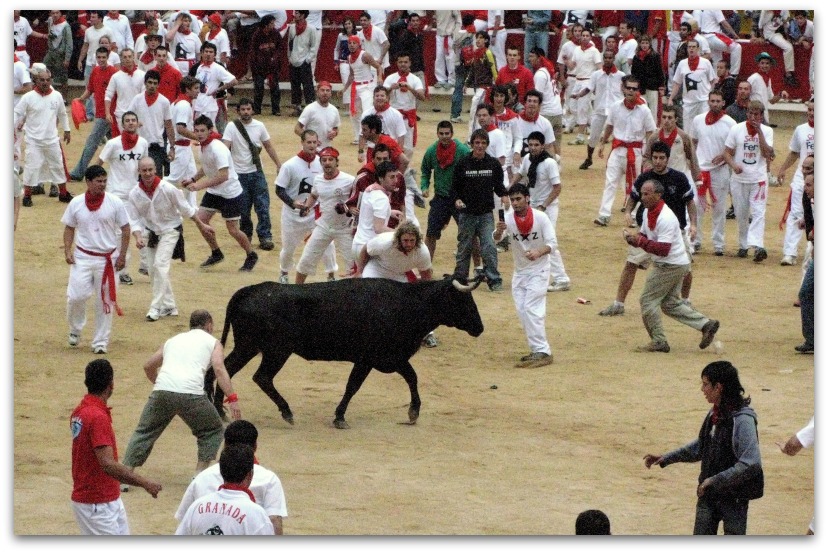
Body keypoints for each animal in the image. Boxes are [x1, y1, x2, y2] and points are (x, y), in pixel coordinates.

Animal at [208, 276, 485, 429]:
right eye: (463, 300)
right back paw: (286, 412)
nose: (480, 328)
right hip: (275, 350)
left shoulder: (390, 358)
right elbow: (354, 386)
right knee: (261, 377)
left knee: (223, 370)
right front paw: (340, 416)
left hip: (249, 346)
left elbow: (411, 377)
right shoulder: (370, 358)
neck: (409, 303)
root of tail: (250, 290)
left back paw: (220, 411)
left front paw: (413, 412)